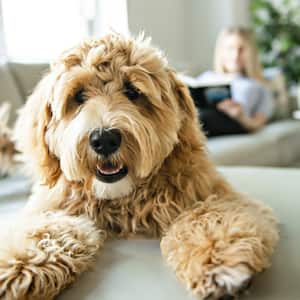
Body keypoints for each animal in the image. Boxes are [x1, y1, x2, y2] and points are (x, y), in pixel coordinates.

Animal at [0, 34, 278, 298]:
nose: (104, 139)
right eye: (78, 96)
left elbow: (208, 217)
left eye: (133, 92)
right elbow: (46, 231)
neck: (122, 200)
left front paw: (219, 261)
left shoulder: (213, 193)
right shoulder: (52, 208)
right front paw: (16, 267)